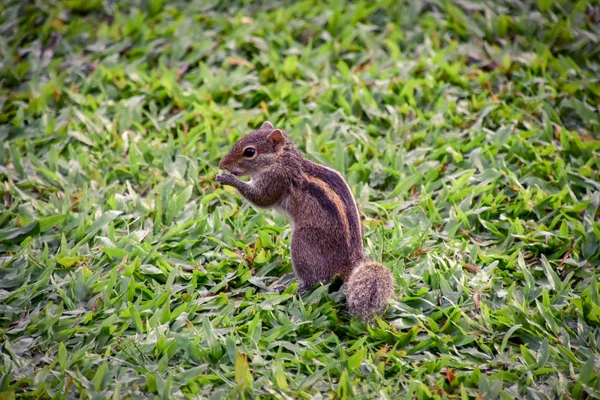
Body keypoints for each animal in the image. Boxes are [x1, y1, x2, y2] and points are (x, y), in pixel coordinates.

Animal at [216, 122, 394, 322]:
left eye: (249, 152)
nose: (222, 165)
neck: (282, 160)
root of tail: (350, 262)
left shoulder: (275, 181)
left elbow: (261, 198)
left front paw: (228, 179)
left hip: (302, 243)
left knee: (316, 281)